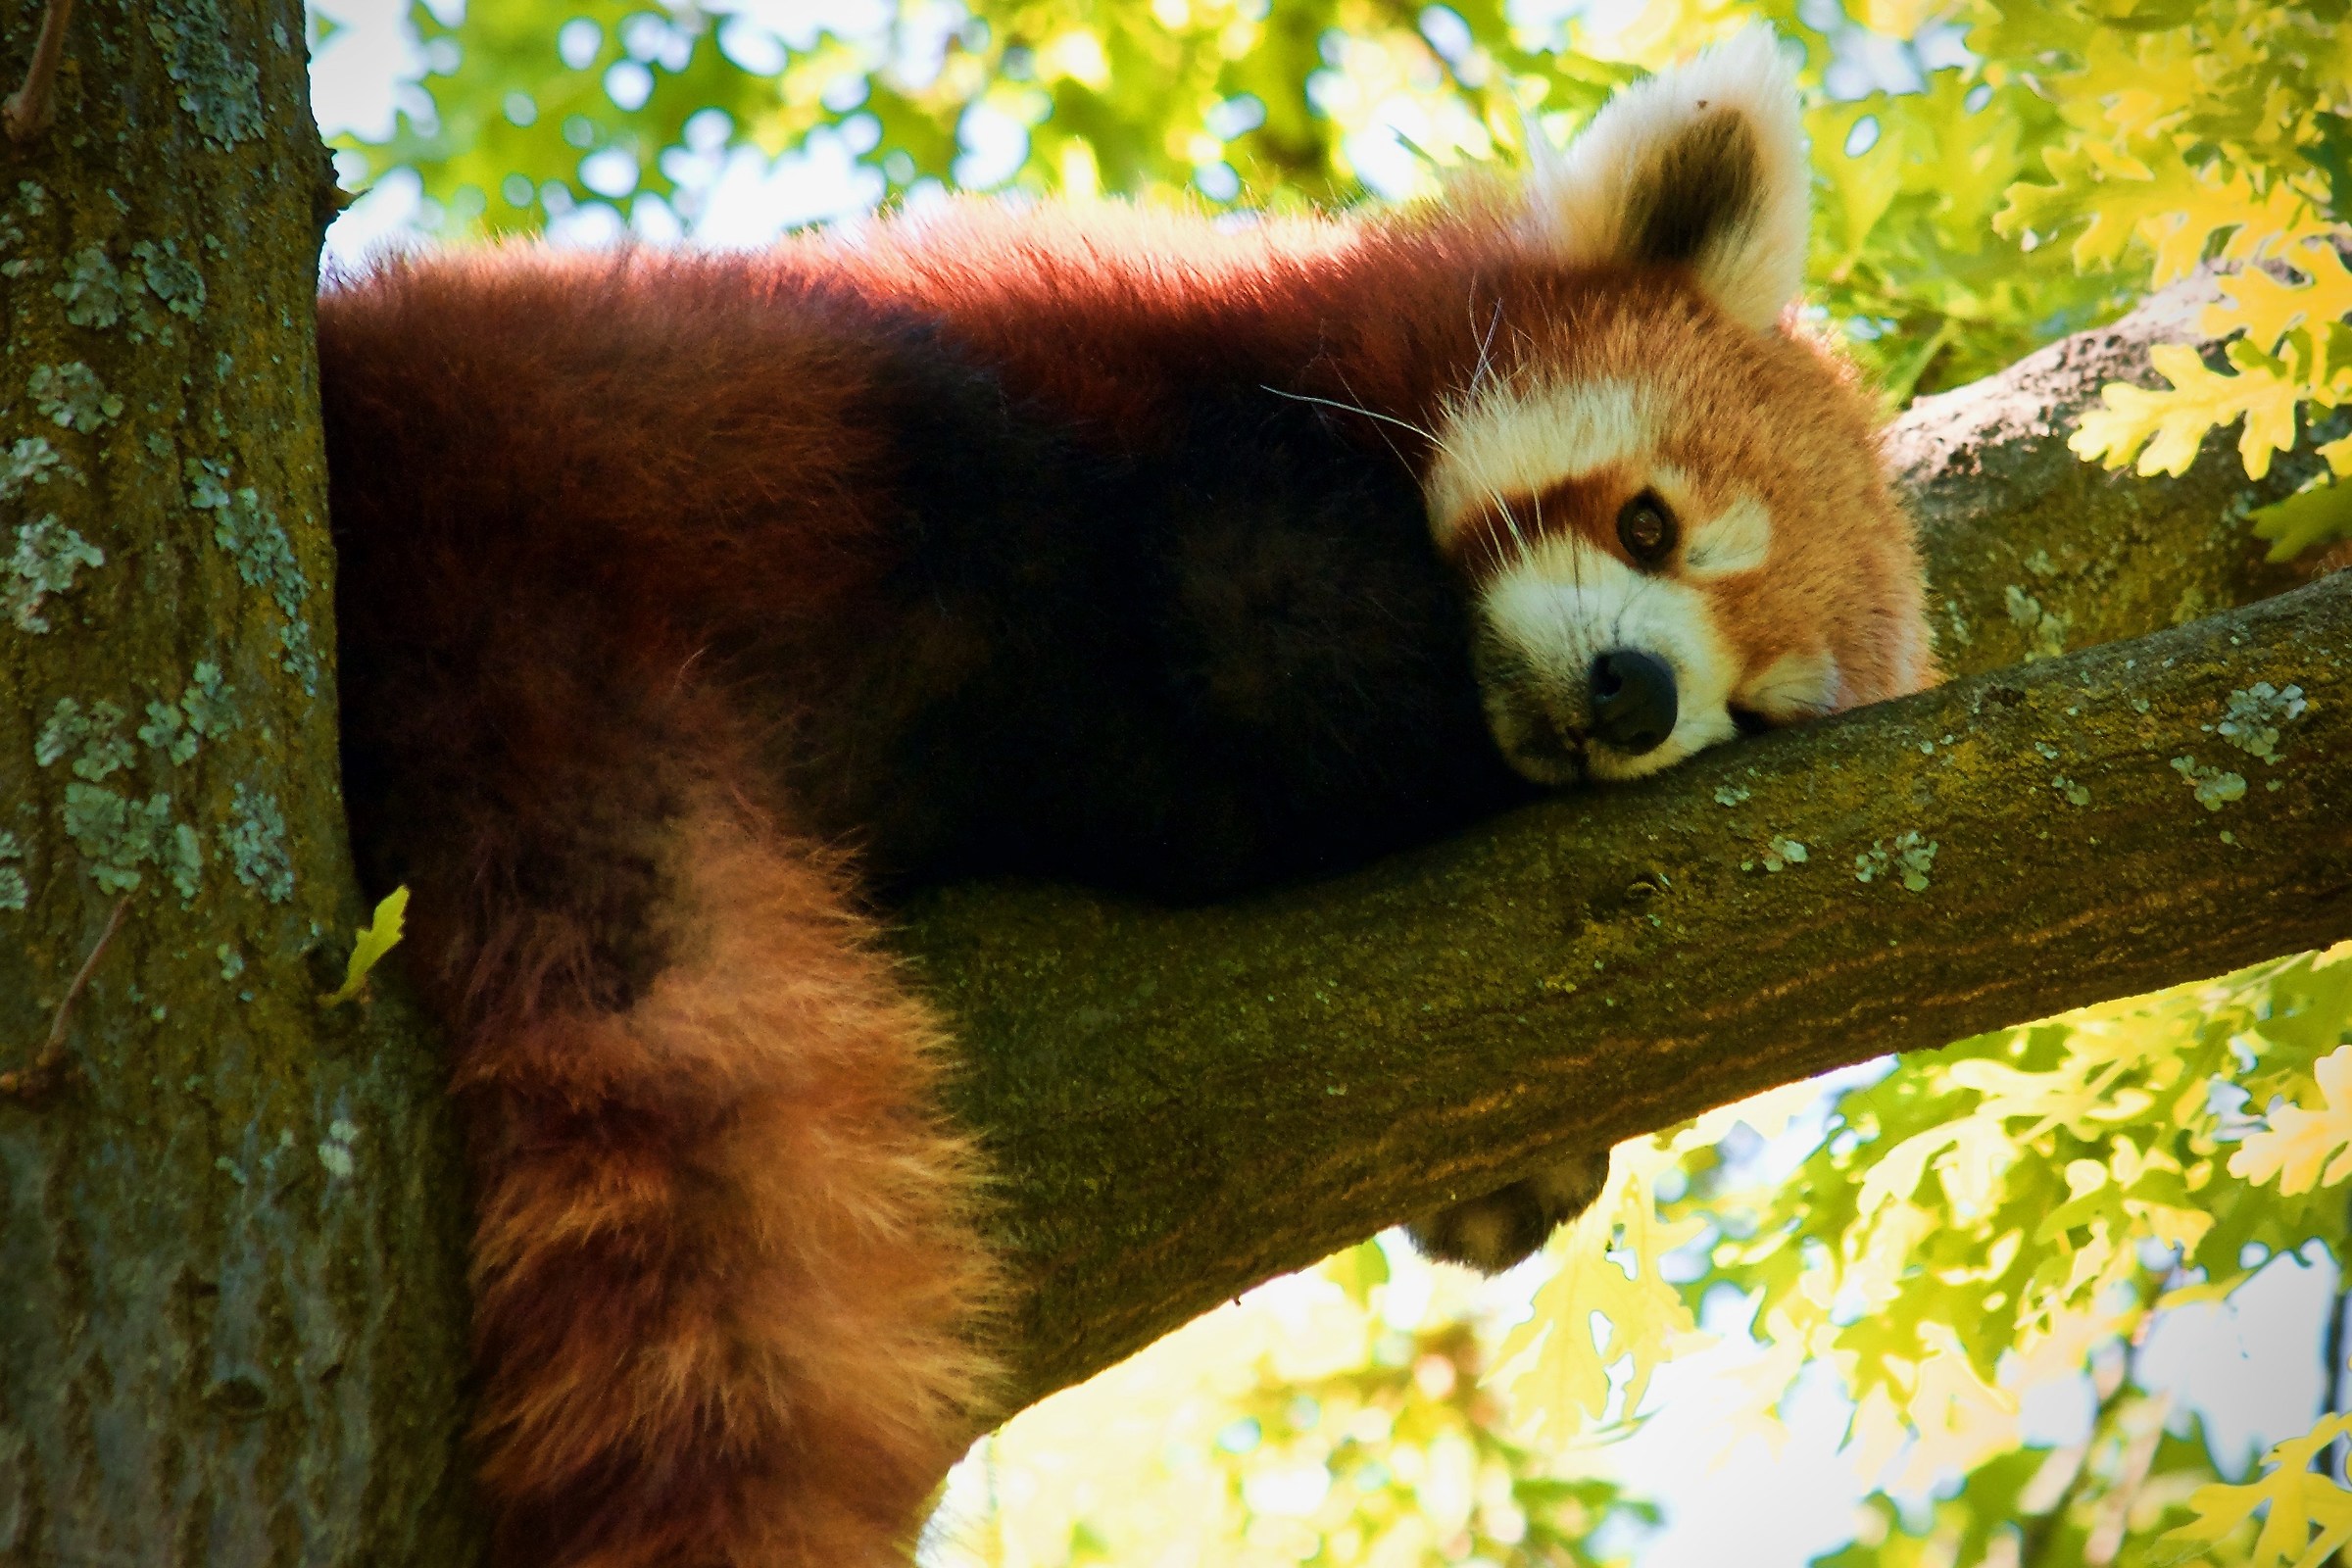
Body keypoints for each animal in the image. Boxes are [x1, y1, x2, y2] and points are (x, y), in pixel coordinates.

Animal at [315, 27, 1930, 1568]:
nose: (1636, 696)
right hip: (712, 401)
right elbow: (1263, 622)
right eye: (1648, 524)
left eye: (1757, 711)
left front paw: (1514, 1178)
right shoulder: (1164, 384)